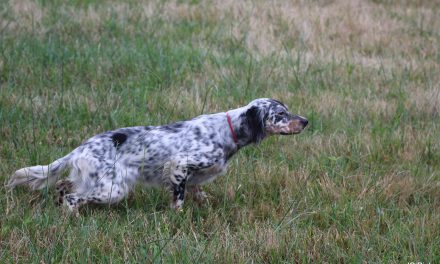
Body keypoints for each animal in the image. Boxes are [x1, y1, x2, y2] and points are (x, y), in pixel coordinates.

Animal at [8, 98, 308, 213]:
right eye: (281, 115)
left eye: (288, 111)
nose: (305, 121)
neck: (229, 130)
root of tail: (80, 148)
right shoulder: (180, 164)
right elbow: (179, 198)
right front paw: (179, 216)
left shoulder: (195, 177)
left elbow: (198, 194)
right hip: (113, 188)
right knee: (72, 197)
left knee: (63, 185)